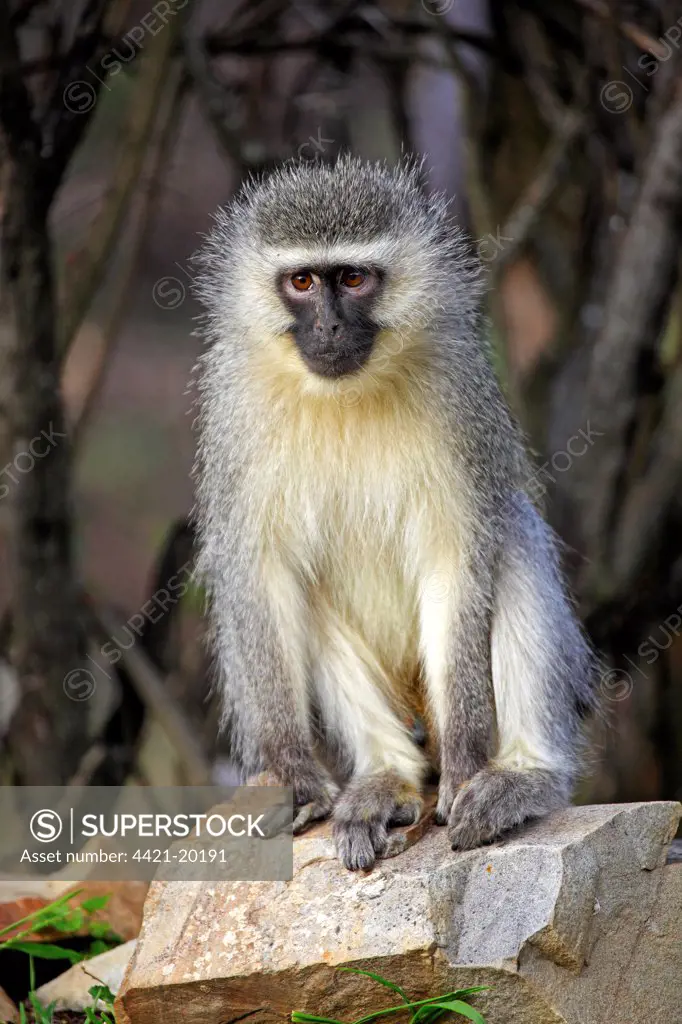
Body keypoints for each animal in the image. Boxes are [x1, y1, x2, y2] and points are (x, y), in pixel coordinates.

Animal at [192, 155, 593, 868]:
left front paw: (467, 763)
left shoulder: (460, 396)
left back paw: (523, 775)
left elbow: (458, 557)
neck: (345, 396)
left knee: (513, 533)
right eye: (302, 281)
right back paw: (387, 777)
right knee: (305, 594)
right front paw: (295, 773)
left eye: (353, 279)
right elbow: (261, 572)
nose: (328, 327)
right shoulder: (235, 409)